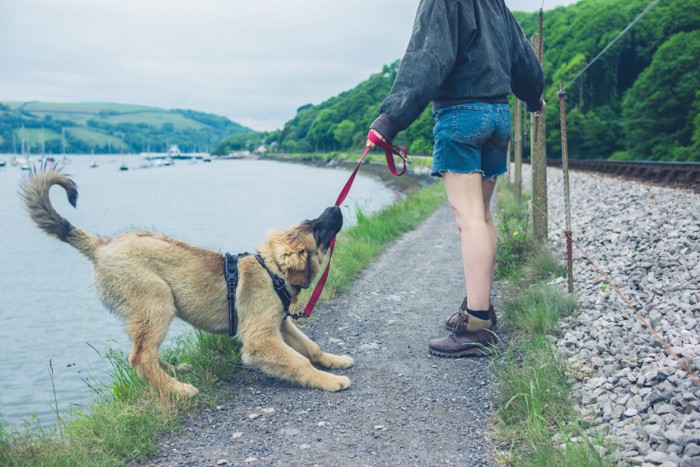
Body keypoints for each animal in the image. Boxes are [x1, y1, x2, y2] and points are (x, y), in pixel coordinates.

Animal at [21, 166, 352, 396]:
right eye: (317, 228)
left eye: (312, 222)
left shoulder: (281, 325)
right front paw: (329, 380)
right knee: (140, 358)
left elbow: (311, 347)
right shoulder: (261, 338)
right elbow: (300, 361)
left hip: (144, 313)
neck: (272, 272)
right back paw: (177, 390)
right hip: (156, 301)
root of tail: (101, 246)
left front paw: (333, 360)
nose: (336, 208)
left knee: (146, 354)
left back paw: (175, 372)